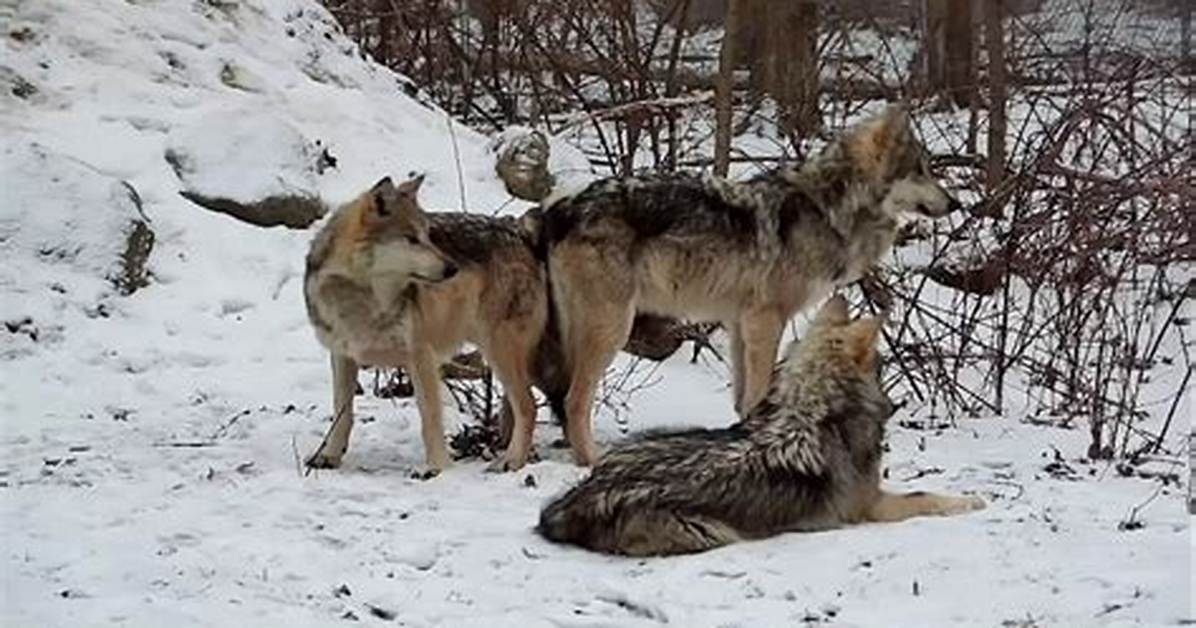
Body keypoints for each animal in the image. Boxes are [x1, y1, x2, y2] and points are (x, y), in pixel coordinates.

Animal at [303, 174, 562, 475]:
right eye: (412, 239)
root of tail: (520, 233)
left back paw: (512, 460)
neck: (364, 297)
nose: (453, 268)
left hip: (499, 351)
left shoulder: (421, 356)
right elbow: (341, 413)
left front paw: (436, 468)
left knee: (528, 407)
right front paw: (329, 456)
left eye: (428, 235)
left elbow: (429, 418)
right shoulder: (343, 355)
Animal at [537, 296, 985, 556]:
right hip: (715, 533)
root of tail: (574, 500)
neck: (815, 408)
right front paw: (970, 501)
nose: (894, 406)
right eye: (881, 370)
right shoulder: (870, 505)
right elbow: (925, 496)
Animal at [541, 105, 961, 465]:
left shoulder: (739, 323)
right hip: (611, 328)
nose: (956, 203)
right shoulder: (766, 320)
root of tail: (562, 207)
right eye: (920, 170)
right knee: (575, 400)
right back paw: (592, 461)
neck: (829, 208)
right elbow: (759, 391)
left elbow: (743, 399)